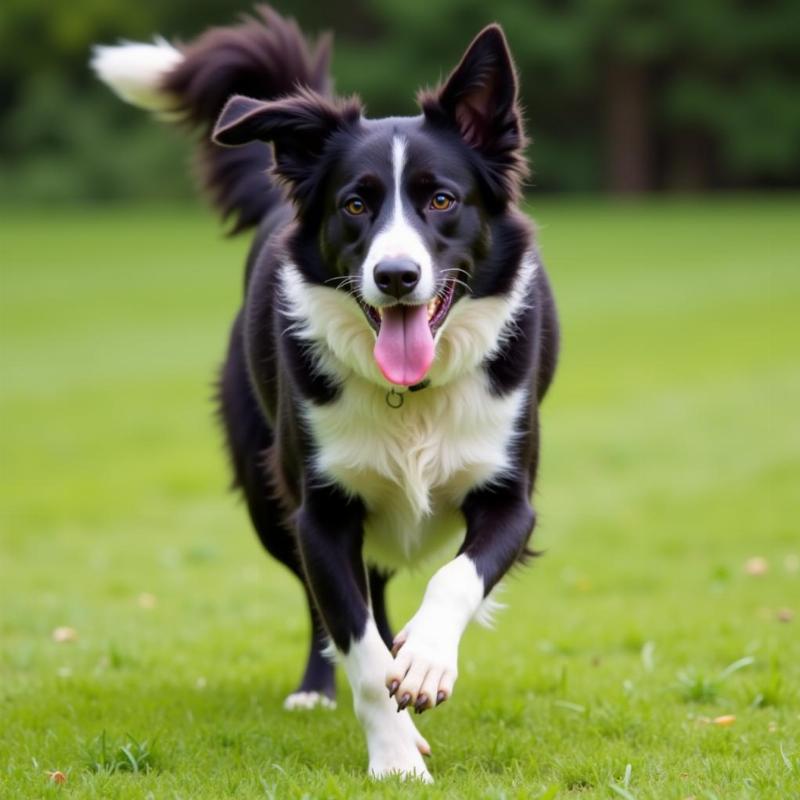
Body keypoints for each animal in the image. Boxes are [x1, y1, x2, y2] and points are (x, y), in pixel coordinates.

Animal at [92, 6, 556, 780]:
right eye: (356, 204)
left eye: (442, 199)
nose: (396, 276)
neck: (411, 394)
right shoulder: (321, 511)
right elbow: (358, 645)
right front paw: (395, 758)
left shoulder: (510, 497)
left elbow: (454, 578)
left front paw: (426, 662)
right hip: (267, 496)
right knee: (329, 604)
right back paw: (323, 689)